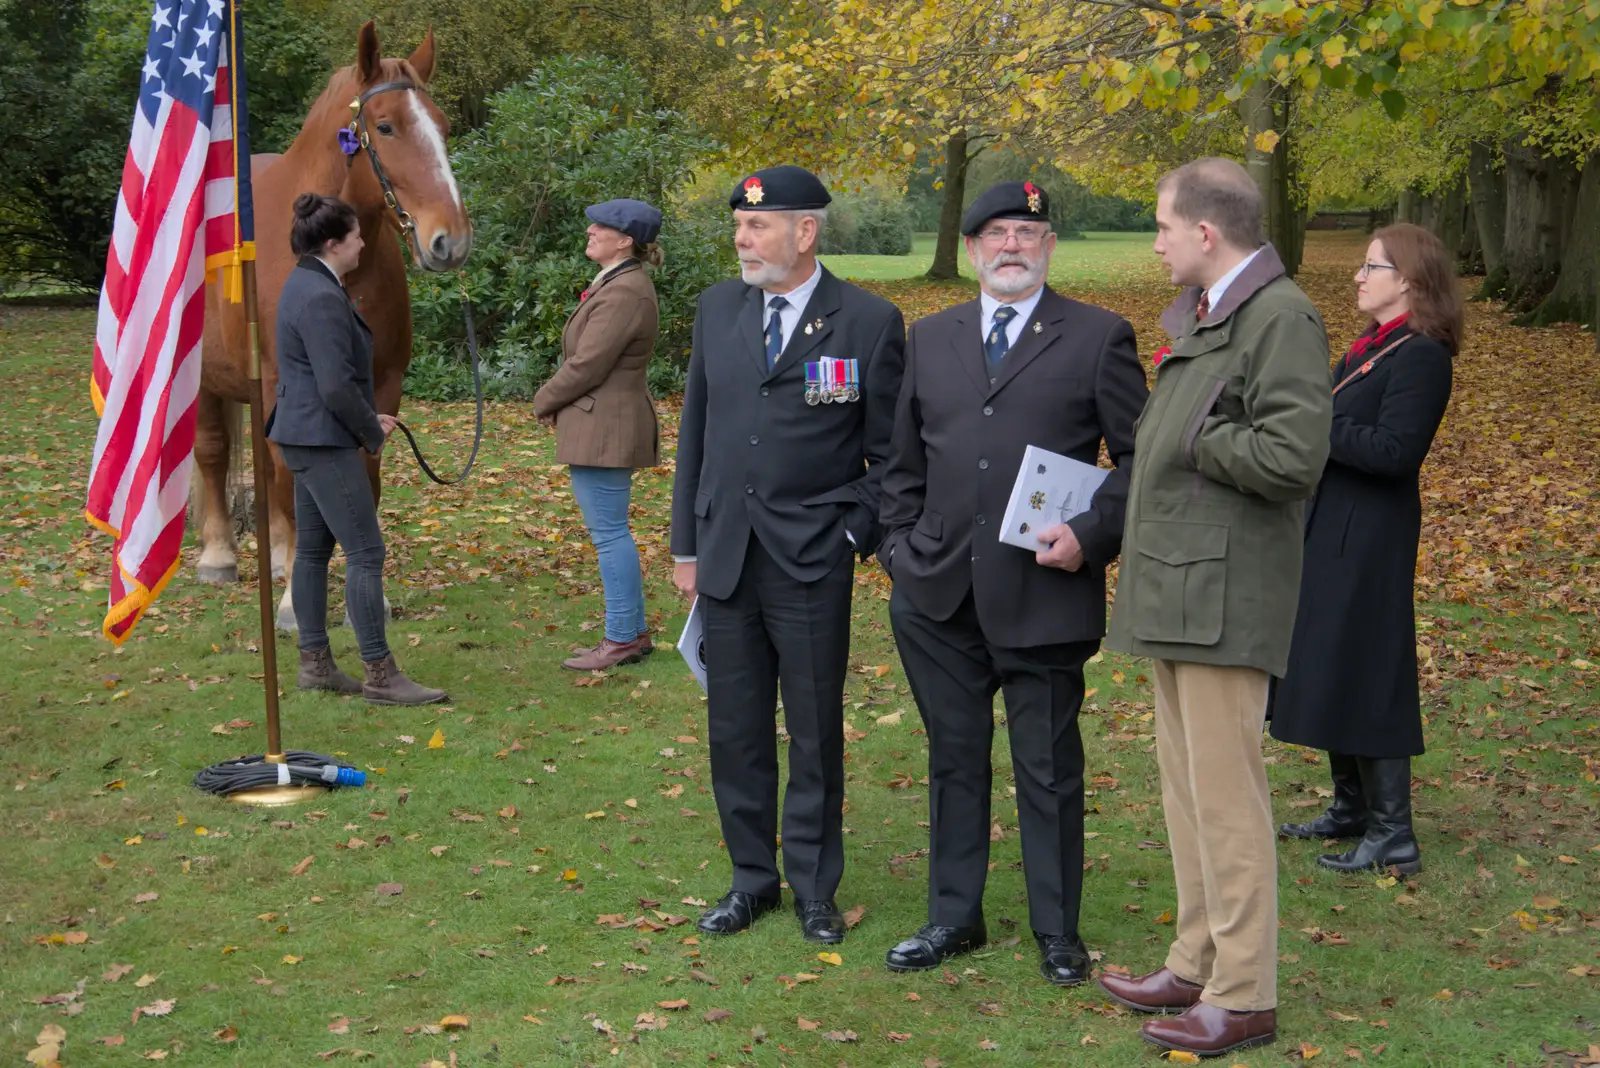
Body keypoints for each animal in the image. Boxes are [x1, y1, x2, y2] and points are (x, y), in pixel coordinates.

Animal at [192, 20, 467, 629]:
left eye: (442, 127)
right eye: (384, 126)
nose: (451, 241)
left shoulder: (380, 386)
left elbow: (365, 478)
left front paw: (372, 597)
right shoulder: (285, 383)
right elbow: (293, 484)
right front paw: (295, 603)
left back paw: (274, 560)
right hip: (200, 383)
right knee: (215, 454)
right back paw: (219, 556)